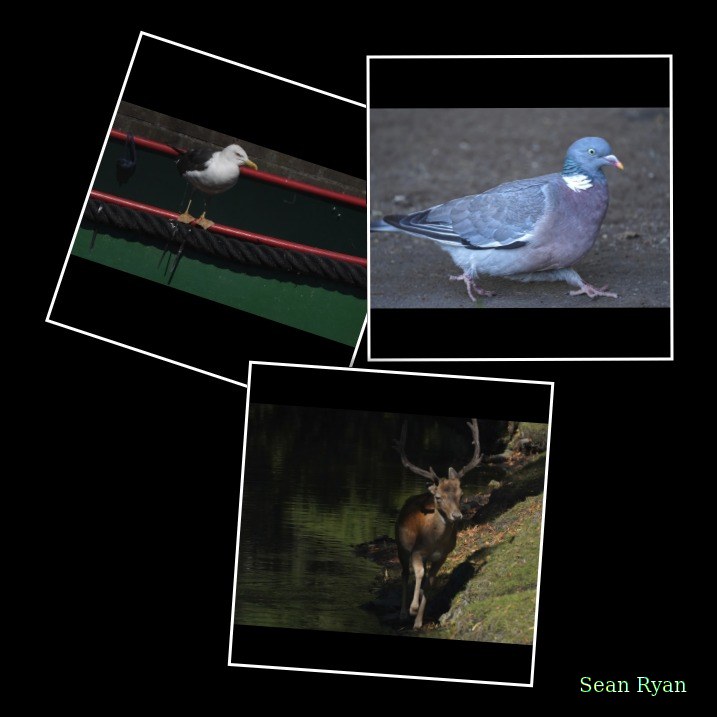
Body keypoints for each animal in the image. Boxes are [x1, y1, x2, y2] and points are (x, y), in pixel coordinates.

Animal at [394, 418, 482, 629]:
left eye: (461, 494)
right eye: (439, 497)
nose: (457, 516)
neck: (434, 541)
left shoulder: (443, 555)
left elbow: (430, 582)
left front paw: (418, 622)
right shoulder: (417, 551)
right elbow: (418, 574)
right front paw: (413, 609)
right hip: (400, 545)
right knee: (404, 573)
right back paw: (402, 613)